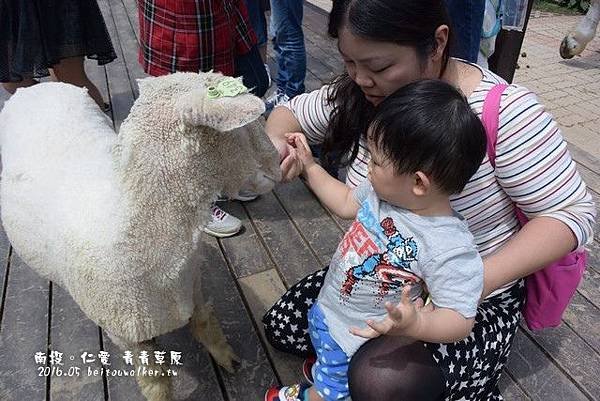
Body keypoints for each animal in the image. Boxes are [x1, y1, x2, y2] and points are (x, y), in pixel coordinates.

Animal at [0, 72, 282, 400]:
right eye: (243, 128)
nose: (278, 165)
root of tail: (34, 88)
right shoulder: (127, 334)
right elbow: (155, 381)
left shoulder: (191, 285)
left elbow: (203, 321)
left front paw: (228, 358)